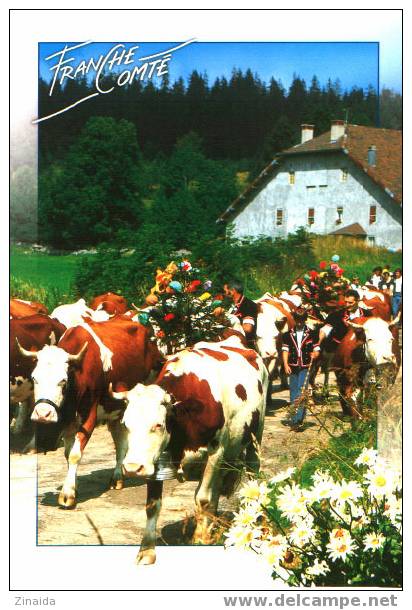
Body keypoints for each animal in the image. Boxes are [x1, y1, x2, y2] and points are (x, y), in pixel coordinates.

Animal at [17, 316, 163, 506]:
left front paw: (67, 493)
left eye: (62, 380)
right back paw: (118, 476)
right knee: (119, 440)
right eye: (34, 378)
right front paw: (74, 485)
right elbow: (67, 454)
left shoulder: (89, 416)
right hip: (115, 410)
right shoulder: (69, 420)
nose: (43, 414)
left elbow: (75, 454)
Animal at [116, 334, 270, 564]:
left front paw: (199, 538)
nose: (133, 467)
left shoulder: (216, 451)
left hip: (255, 435)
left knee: (252, 472)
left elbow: (202, 499)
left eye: (158, 425)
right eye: (126, 424)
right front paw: (146, 551)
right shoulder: (154, 461)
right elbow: (153, 506)